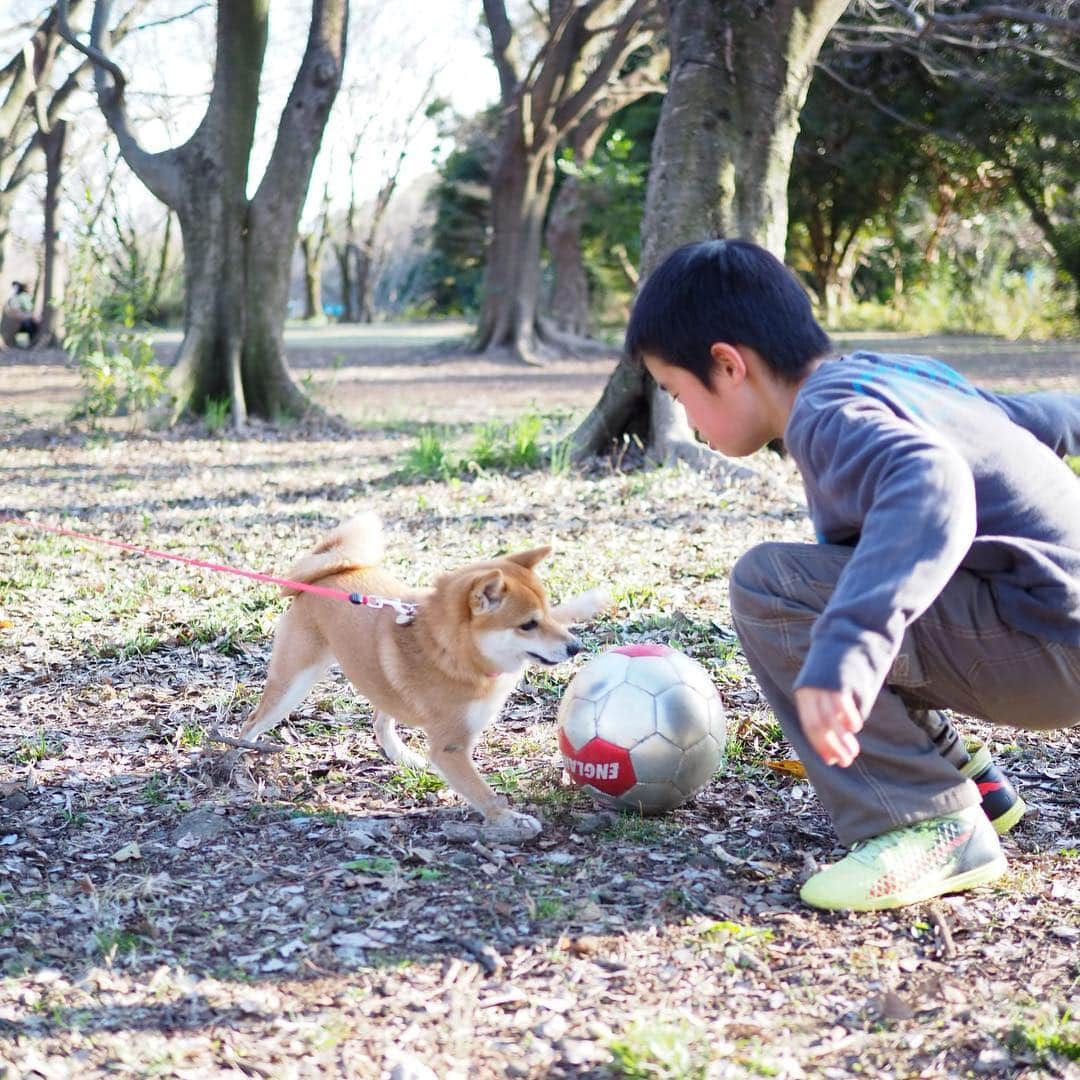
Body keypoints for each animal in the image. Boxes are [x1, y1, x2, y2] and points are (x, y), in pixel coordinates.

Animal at [236, 514, 609, 842]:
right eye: (527, 624)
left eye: (545, 614)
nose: (575, 647)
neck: (456, 653)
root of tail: (319, 578)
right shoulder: (450, 747)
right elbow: (482, 791)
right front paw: (508, 819)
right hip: (293, 683)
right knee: (252, 723)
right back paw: (238, 759)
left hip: (382, 683)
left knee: (380, 721)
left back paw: (406, 758)